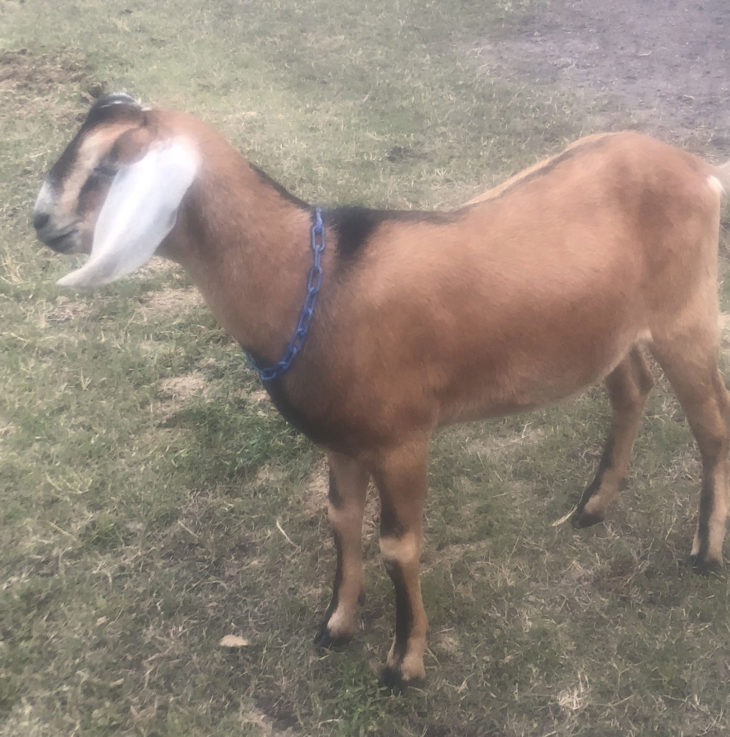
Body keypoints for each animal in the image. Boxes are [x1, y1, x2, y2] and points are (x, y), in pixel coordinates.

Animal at [33, 93, 730, 688]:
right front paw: (337, 624)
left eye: (109, 167)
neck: (312, 278)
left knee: (711, 425)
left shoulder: (402, 440)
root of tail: (700, 170)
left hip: (686, 313)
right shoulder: (341, 439)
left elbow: (398, 545)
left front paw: (404, 662)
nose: (42, 222)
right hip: (610, 329)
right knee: (632, 389)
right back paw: (593, 506)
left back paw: (705, 550)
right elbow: (341, 519)